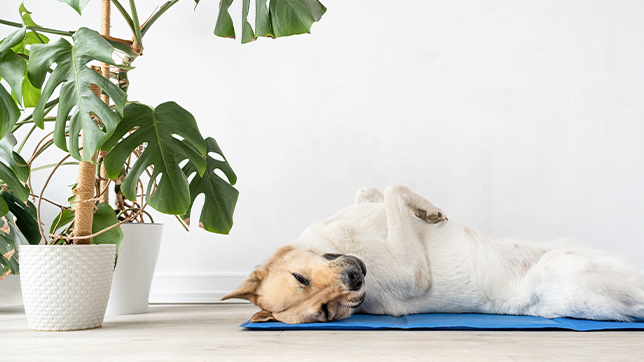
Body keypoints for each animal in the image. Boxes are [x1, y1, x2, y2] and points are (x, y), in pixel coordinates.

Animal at [221, 185, 644, 324]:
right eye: (325, 312)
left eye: (300, 277)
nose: (356, 279)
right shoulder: (412, 272)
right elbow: (394, 188)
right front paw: (427, 209)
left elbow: (372, 190)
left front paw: (422, 210)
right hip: (566, 268)